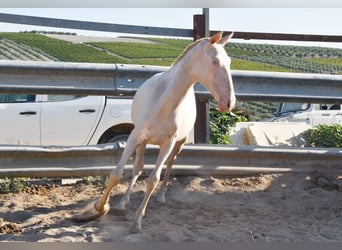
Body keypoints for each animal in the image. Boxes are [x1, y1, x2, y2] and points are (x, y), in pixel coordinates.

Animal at [74, 32, 235, 233]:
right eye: (214, 61)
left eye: (229, 62)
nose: (229, 102)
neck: (164, 103)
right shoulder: (135, 137)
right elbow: (117, 174)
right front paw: (98, 208)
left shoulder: (168, 143)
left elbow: (153, 179)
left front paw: (136, 222)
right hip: (143, 142)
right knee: (138, 168)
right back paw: (122, 203)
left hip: (178, 144)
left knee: (170, 165)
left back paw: (161, 196)